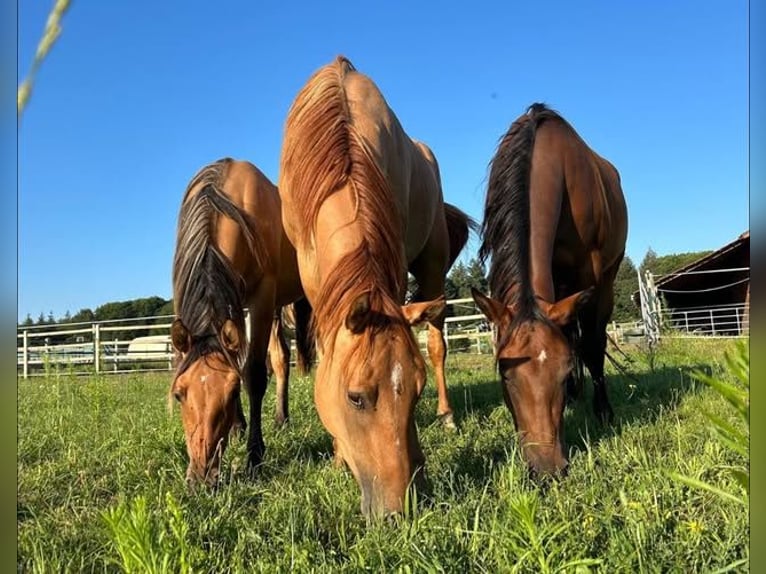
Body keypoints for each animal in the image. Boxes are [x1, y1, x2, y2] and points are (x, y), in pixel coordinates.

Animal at [171, 160, 316, 488]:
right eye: (178, 394)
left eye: (232, 393)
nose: (201, 478)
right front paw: (238, 427)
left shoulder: (261, 298)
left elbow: (254, 374)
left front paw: (254, 456)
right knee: (281, 359)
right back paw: (281, 418)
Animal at [280, 57, 476, 516]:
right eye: (355, 397)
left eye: (416, 392)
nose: (398, 509)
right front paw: (337, 456)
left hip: (432, 267)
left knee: (437, 343)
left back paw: (447, 416)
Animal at [474, 102, 632, 476]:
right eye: (505, 375)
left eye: (562, 373)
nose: (547, 469)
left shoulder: (591, 275)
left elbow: (591, 347)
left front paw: (602, 412)